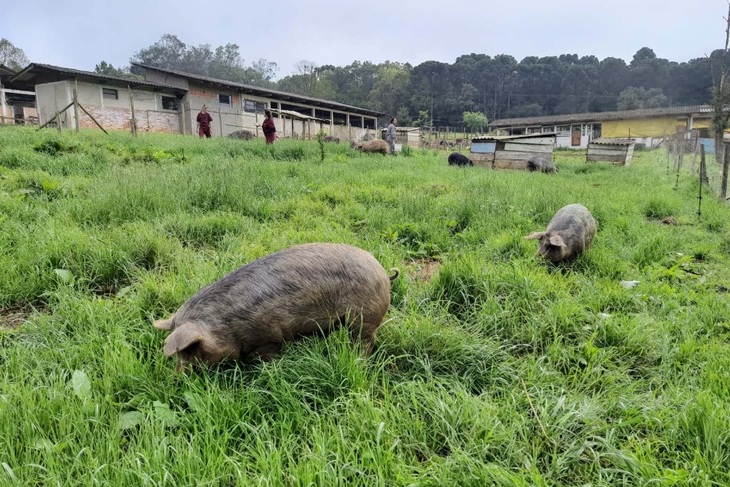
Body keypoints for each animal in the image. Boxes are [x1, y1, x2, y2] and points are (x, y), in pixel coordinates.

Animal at [153, 243, 399, 371]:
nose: (179, 377)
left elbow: (269, 356)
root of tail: (382, 270)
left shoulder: (268, 337)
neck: (226, 324)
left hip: (364, 316)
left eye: (191, 350)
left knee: (365, 341)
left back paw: (359, 362)